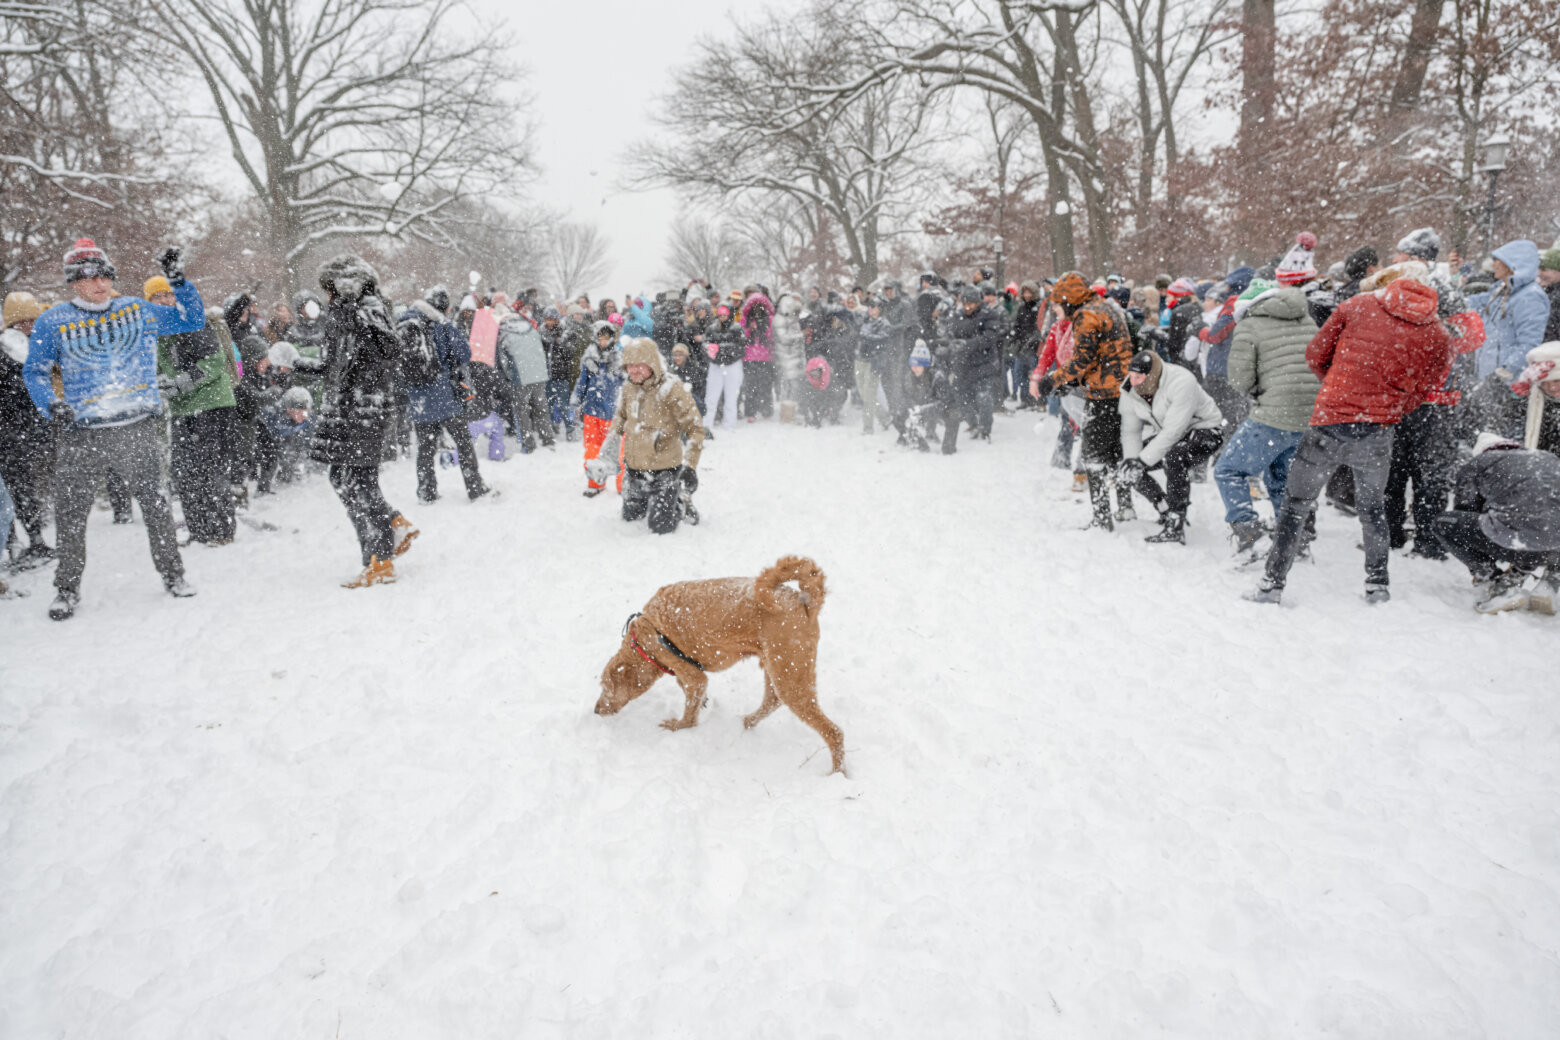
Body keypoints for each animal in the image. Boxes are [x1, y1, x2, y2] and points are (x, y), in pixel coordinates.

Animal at [595, 561, 848, 773]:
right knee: (772, 700)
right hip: (776, 665)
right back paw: (748, 722)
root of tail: (804, 600)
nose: (596, 711)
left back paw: (837, 773)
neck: (643, 640)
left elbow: (689, 713)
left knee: (833, 732)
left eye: (605, 686)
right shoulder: (689, 672)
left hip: (789, 669)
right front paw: (701, 703)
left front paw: (678, 726)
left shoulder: (693, 674)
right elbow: (689, 693)